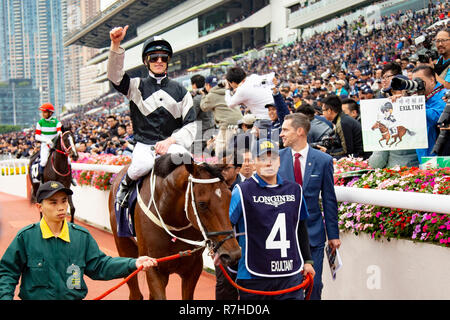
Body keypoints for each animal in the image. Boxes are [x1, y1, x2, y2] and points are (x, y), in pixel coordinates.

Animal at [108, 154, 243, 300]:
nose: (233, 254)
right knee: (135, 292)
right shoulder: (152, 267)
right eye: (202, 204)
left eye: (229, 197)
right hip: (123, 245)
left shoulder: (193, 266)